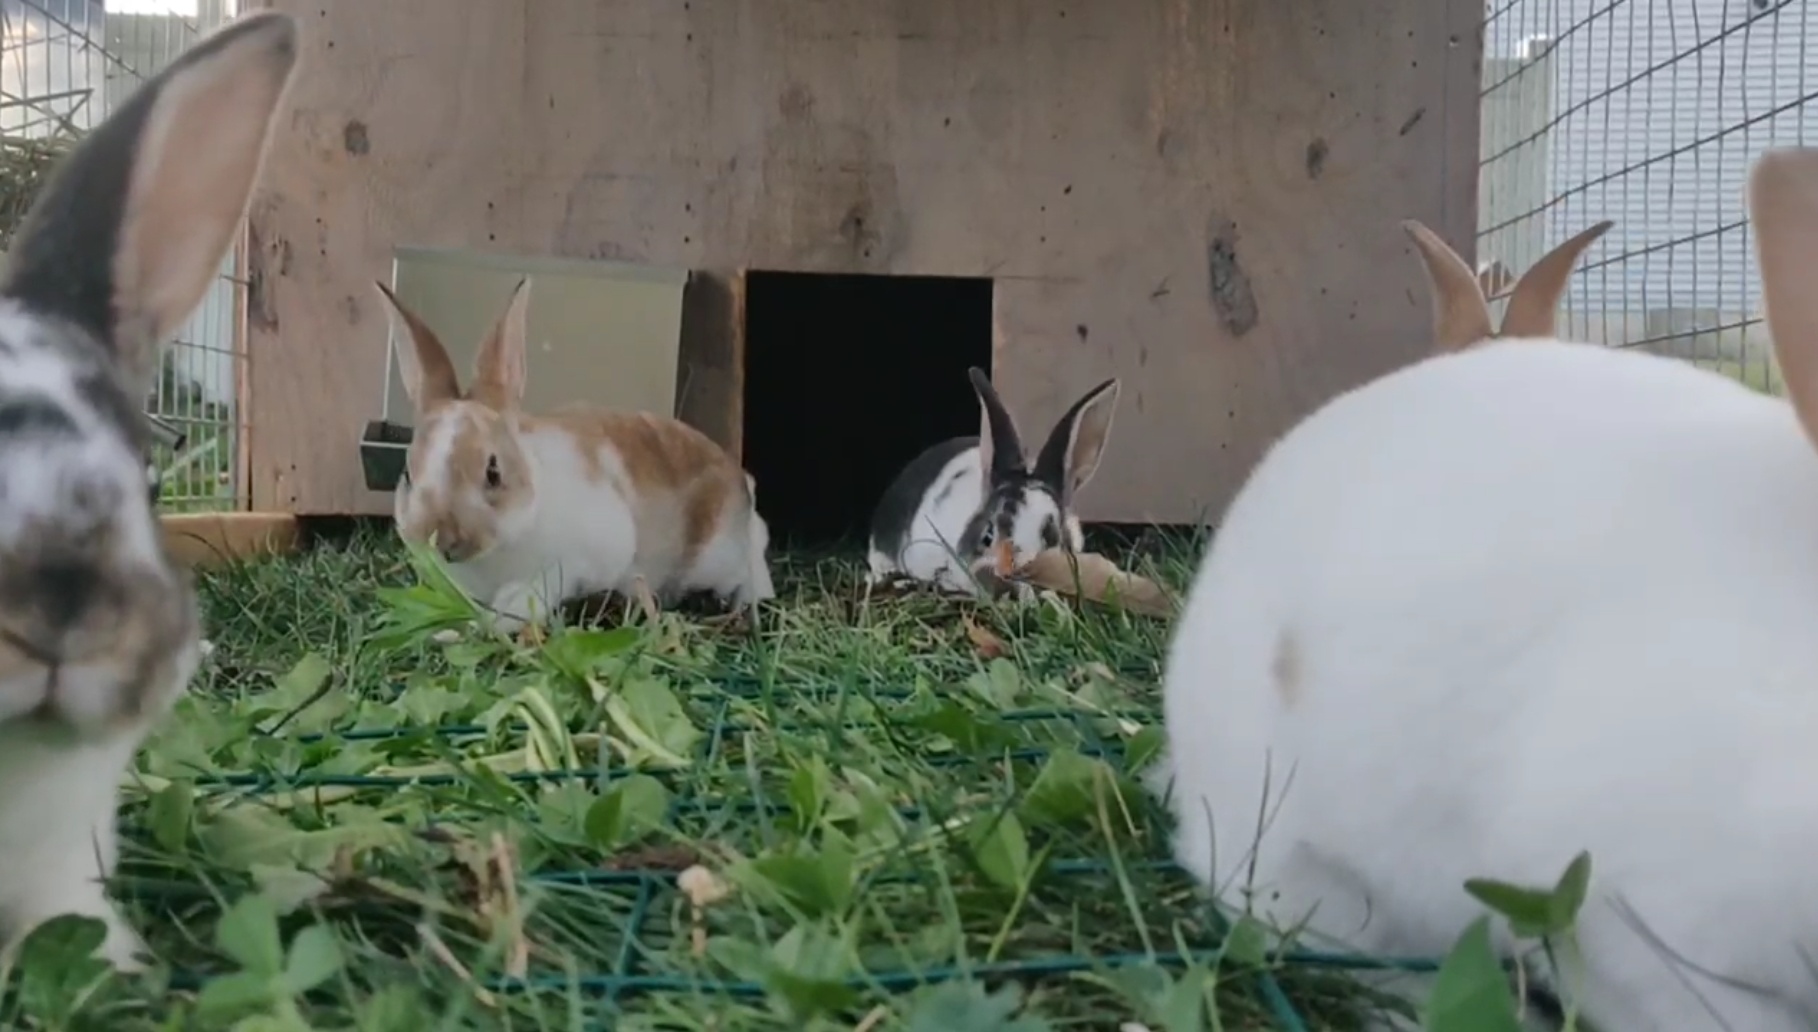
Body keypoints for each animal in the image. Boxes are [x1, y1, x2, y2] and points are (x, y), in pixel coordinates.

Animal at [377, 279, 774, 633]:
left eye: (493, 472)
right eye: (408, 475)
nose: (439, 539)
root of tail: (740, 480)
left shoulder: (580, 557)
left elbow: (535, 592)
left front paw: (493, 619)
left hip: (718, 553)